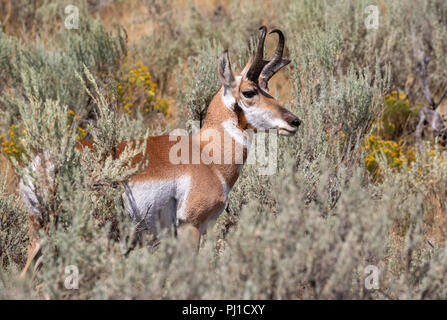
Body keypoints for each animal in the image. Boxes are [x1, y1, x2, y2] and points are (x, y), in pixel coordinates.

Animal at [20, 26, 300, 276]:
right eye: (249, 92)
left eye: (268, 89)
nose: (294, 121)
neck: (207, 155)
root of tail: (40, 161)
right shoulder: (190, 227)